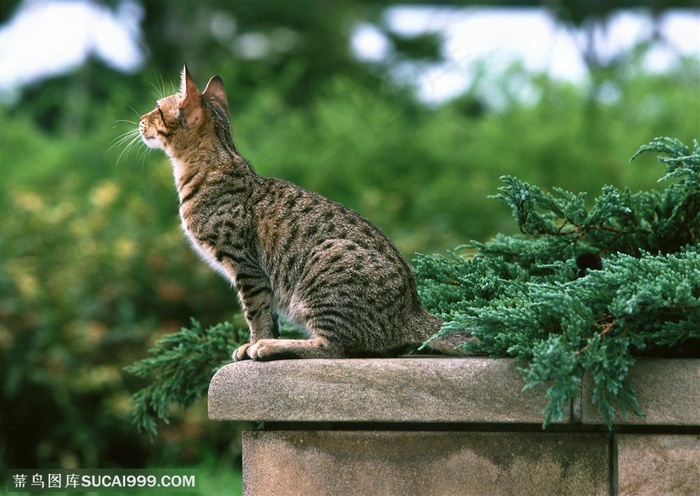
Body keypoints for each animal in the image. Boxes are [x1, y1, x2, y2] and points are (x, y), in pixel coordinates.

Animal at [138, 65, 470, 360]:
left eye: (157, 108)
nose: (140, 118)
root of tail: (413, 310)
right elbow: (268, 315)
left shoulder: (247, 268)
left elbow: (256, 313)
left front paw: (257, 342)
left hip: (324, 268)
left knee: (334, 348)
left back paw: (273, 347)